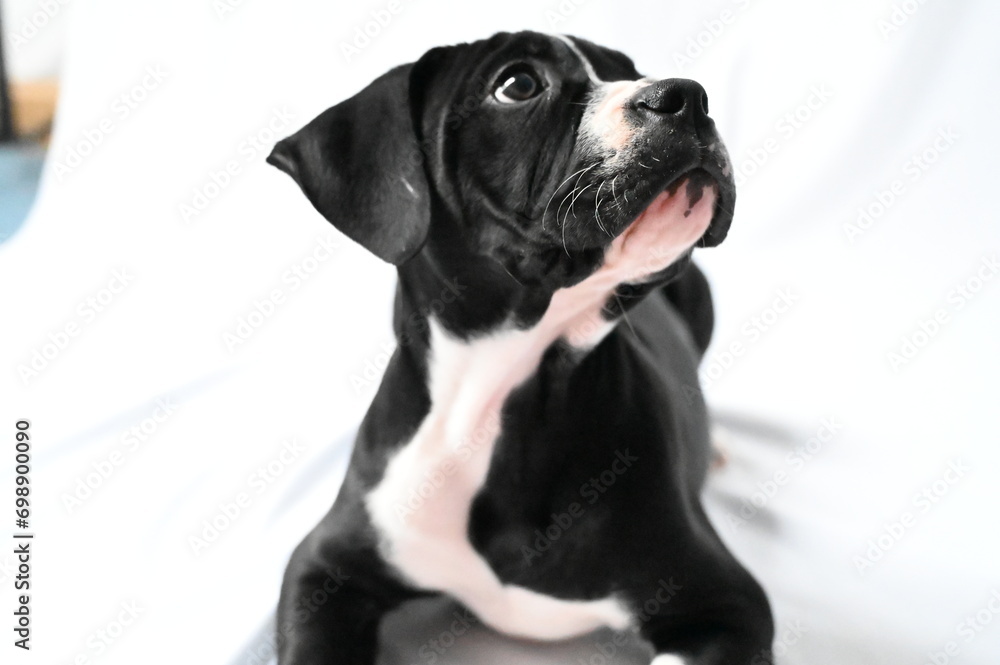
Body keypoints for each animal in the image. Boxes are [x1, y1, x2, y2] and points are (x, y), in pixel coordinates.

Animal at [268, 29, 772, 664]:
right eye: (518, 84)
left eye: (629, 70)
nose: (686, 96)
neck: (501, 394)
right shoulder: (323, 564)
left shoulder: (727, 603)